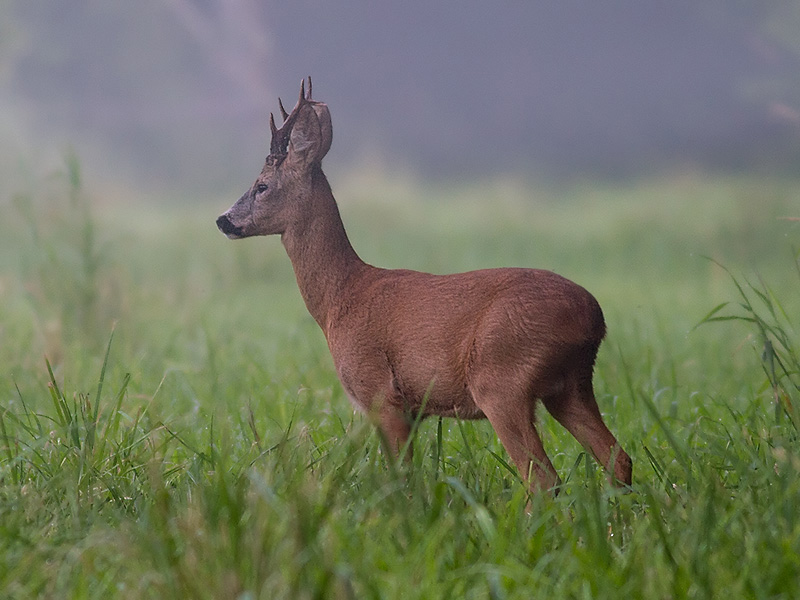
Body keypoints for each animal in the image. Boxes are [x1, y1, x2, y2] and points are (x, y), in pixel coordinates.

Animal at [217, 78, 632, 492]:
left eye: (261, 186)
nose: (223, 220)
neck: (340, 298)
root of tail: (593, 317)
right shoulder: (413, 408)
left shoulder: (382, 393)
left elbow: (401, 479)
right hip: (572, 385)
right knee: (618, 458)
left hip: (501, 377)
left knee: (542, 478)